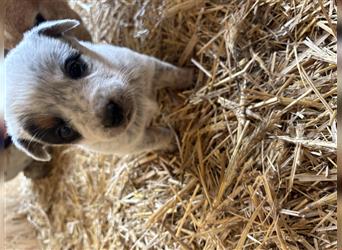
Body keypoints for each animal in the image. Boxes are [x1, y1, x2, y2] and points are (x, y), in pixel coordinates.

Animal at [5, 19, 192, 162]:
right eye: (64, 131)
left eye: (75, 68)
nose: (112, 114)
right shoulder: (134, 142)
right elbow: (159, 137)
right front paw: (173, 142)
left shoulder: (148, 66)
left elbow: (172, 74)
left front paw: (192, 77)